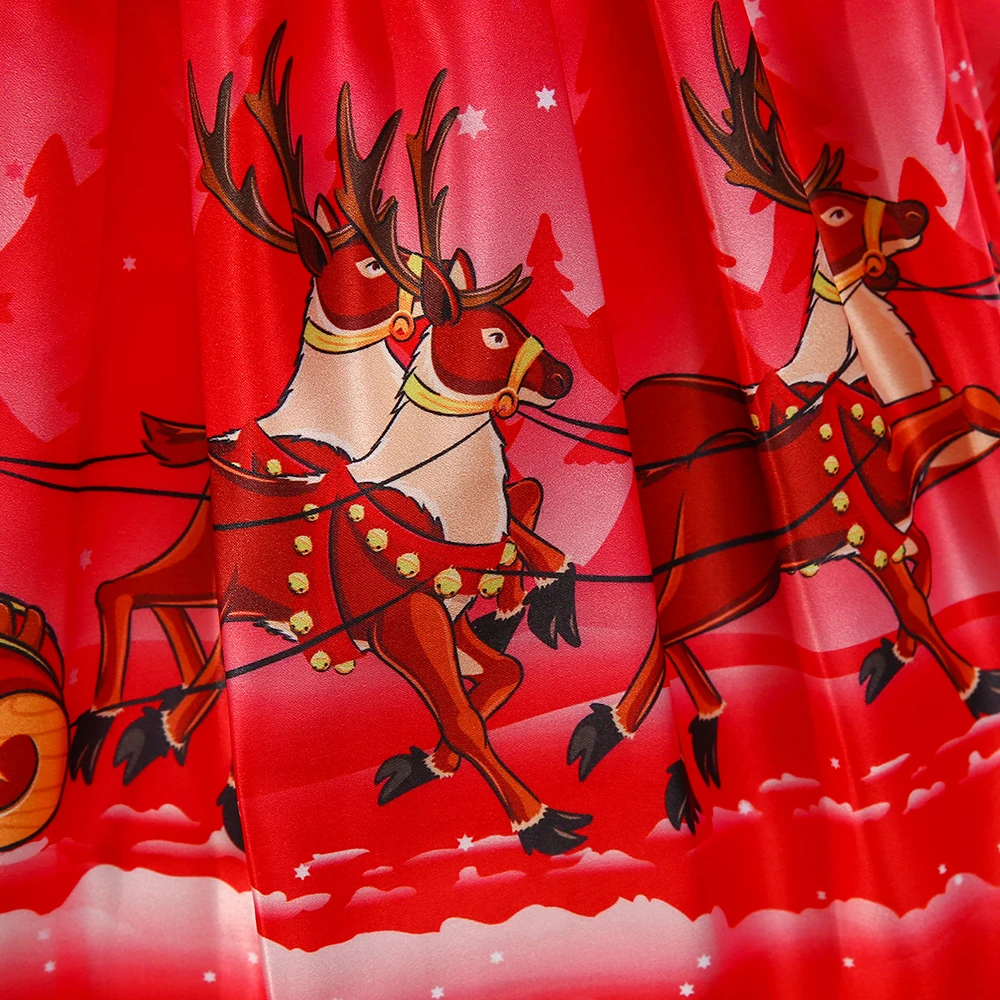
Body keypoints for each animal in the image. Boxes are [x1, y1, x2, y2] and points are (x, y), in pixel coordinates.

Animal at [566, 3, 1000, 834]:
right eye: (831, 210)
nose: (918, 210)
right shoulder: (867, 524)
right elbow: (920, 592)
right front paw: (971, 682)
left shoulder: (892, 517)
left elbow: (929, 553)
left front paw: (890, 657)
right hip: (731, 573)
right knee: (670, 630)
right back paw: (635, 736)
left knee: (674, 636)